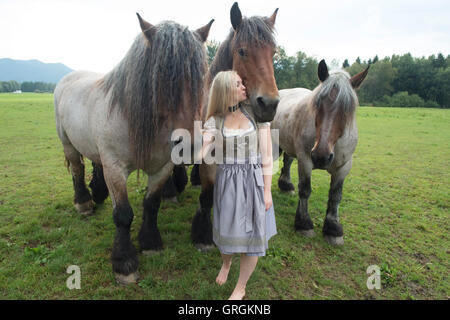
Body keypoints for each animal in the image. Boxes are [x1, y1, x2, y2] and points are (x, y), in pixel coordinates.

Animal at [52, 12, 214, 284]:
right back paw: (84, 203)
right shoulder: (116, 168)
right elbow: (123, 215)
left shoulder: (162, 167)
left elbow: (152, 204)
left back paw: (98, 194)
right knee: (77, 169)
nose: (190, 146)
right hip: (68, 144)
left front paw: (150, 243)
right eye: (161, 75)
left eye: (201, 77)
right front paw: (124, 262)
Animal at [270, 59, 370, 245]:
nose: (321, 156)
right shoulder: (305, 160)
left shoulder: (344, 167)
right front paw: (304, 224)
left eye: (348, 109)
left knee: (287, 160)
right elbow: (305, 189)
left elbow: (335, 195)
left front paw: (333, 228)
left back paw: (286, 185)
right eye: (317, 105)